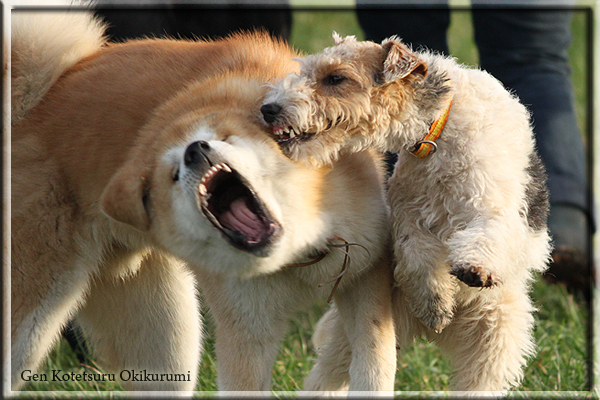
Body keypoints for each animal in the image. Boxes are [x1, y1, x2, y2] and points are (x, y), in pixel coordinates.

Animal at [11, 11, 396, 390]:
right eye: (172, 173)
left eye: (225, 137)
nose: (194, 150)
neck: (299, 253)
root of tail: (35, 105)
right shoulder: (246, 334)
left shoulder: (366, 281)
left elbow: (373, 367)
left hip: (167, 338)